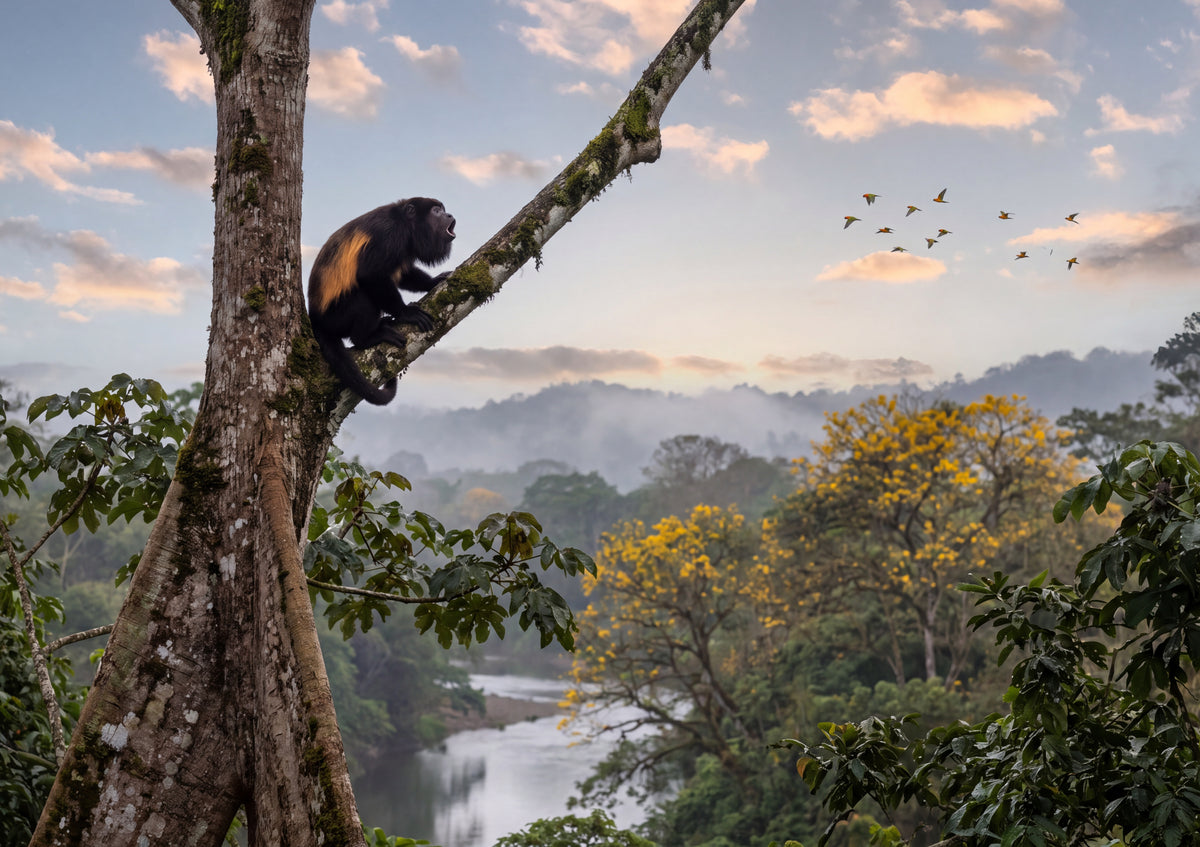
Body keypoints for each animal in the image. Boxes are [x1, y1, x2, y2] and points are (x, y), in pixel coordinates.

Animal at [307, 197, 456, 405]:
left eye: (443, 209)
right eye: (436, 211)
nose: (449, 215)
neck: (405, 223)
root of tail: (316, 319)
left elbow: (404, 273)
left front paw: (432, 282)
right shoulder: (389, 235)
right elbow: (370, 274)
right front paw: (406, 313)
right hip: (335, 317)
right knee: (363, 300)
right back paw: (367, 338)